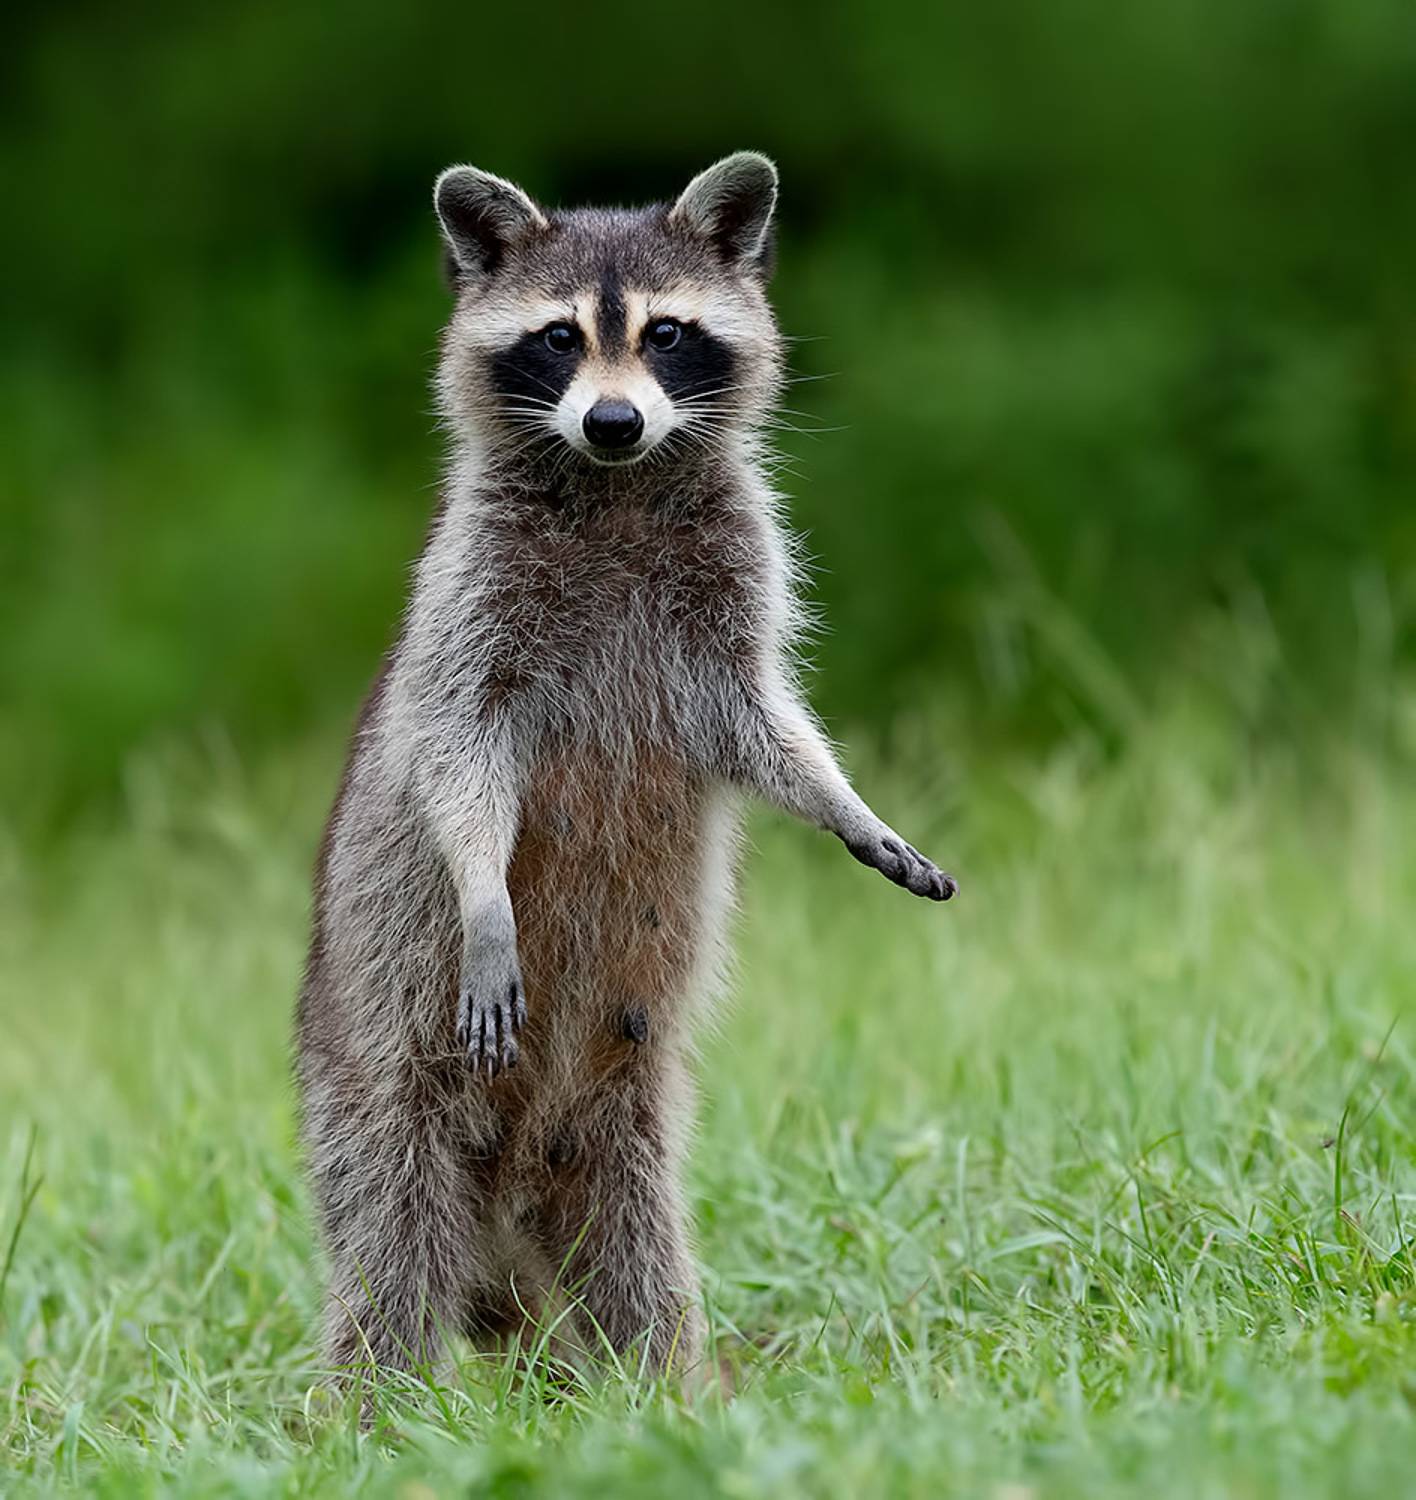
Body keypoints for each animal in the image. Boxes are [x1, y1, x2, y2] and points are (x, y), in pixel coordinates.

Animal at [296, 152, 957, 1382]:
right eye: (559, 337)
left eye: (665, 334)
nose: (613, 421)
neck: (614, 484)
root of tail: (508, 1198)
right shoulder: (471, 598)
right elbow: (456, 748)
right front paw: (484, 891)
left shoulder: (732, 584)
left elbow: (762, 723)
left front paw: (845, 803)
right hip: (375, 1065)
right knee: (389, 1243)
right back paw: (373, 1406)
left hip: (614, 1115)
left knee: (637, 1247)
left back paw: (669, 1384)